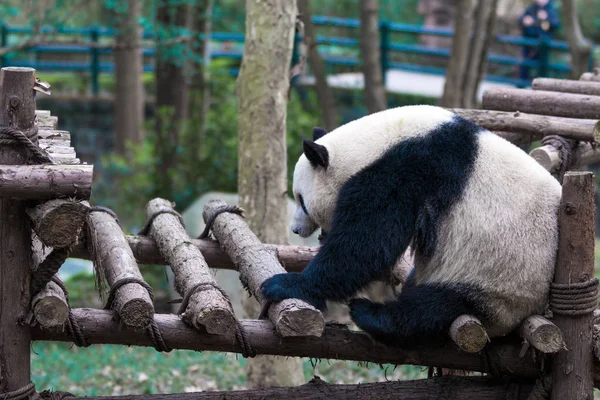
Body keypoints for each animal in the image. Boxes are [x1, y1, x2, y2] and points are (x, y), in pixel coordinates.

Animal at [262, 104, 564, 348]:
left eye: (301, 200)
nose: (296, 230)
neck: (377, 141)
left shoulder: (411, 167)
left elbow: (368, 240)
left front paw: (286, 284)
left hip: (497, 284)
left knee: (432, 311)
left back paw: (369, 313)